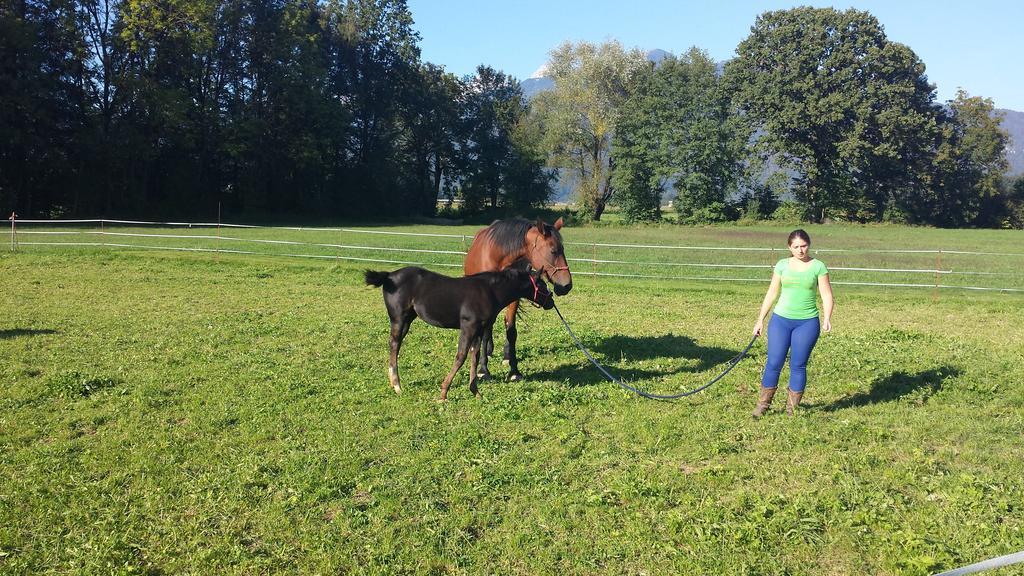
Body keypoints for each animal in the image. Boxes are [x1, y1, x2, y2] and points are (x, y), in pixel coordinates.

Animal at [462, 217, 573, 379]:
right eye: (553, 251)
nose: (567, 285)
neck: (498, 256)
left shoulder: (513, 296)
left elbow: (511, 331)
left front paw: (514, 370)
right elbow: (486, 333)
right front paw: (483, 370)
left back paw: (506, 355)